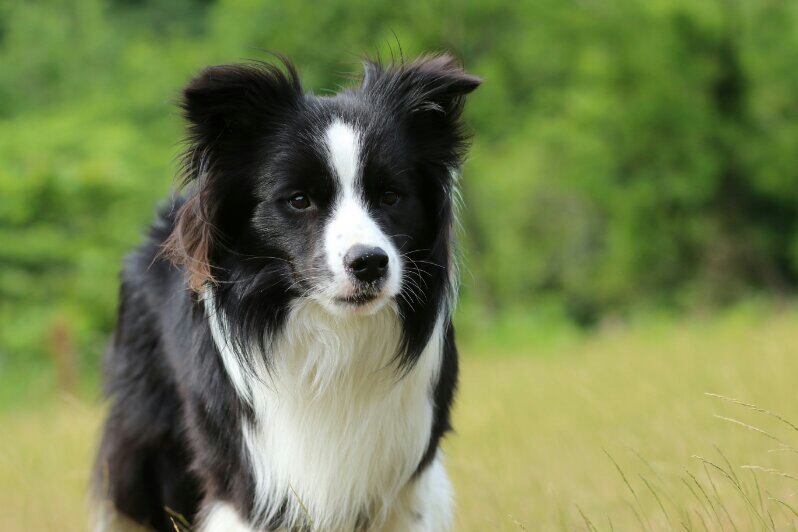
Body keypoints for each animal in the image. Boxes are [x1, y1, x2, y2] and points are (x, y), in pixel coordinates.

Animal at [93, 53, 480, 531]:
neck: (331, 336)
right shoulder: (251, 474)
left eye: (391, 196)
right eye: (299, 200)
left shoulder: (403, 479)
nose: (370, 263)